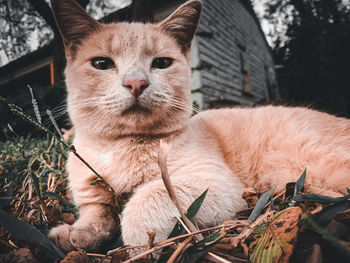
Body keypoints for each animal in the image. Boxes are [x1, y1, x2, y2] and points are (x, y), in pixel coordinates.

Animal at [48, 0, 350, 256]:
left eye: (161, 63)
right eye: (102, 64)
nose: (136, 83)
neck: (118, 146)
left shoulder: (218, 185)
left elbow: (147, 199)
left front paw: (139, 248)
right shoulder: (92, 198)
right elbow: (96, 217)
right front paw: (74, 234)